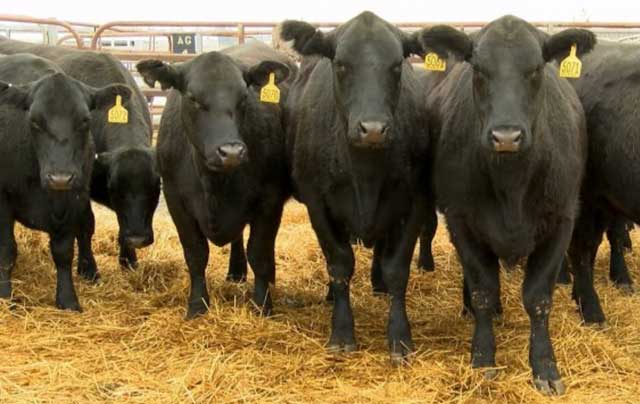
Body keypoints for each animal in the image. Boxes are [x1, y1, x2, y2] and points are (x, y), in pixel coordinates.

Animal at [0, 37, 161, 277]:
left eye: (155, 189)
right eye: (115, 189)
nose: (137, 239)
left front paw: (129, 260)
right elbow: (86, 225)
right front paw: (88, 269)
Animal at [0, 54, 131, 310]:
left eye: (85, 120)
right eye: (34, 121)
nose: (59, 178)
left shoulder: (73, 199)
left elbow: (63, 252)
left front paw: (68, 299)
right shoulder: (2, 199)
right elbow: (7, 251)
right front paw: (4, 295)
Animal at [136, 41, 295, 318]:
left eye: (243, 97)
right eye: (192, 98)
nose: (231, 151)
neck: (213, 183)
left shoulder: (269, 201)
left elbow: (259, 254)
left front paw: (262, 305)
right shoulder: (176, 200)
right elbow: (196, 254)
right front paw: (197, 305)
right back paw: (236, 272)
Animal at [280, 11, 438, 364]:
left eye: (397, 65)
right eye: (340, 64)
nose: (373, 129)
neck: (365, 173)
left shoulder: (415, 201)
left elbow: (397, 269)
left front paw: (399, 338)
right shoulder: (317, 202)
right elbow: (339, 263)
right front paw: (341, 334)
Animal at [419, 16, 595, 394]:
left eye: (535, 69)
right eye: (479, 69)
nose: (506, 136)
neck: (511, 185)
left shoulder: (561, 220)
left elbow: (539, 298)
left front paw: (544, 365)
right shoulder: (461, 219)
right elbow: (484, 290)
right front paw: (483, 358)